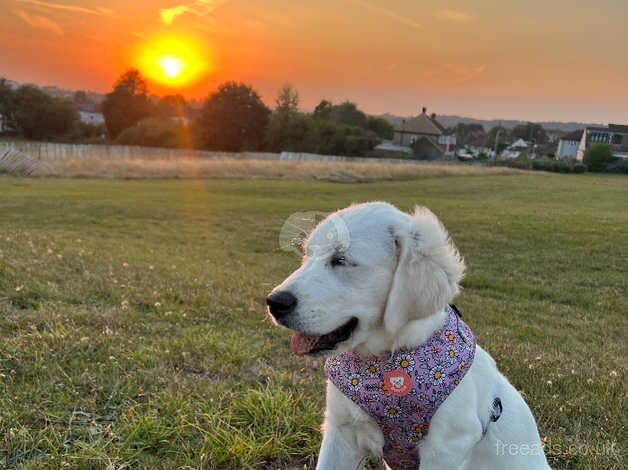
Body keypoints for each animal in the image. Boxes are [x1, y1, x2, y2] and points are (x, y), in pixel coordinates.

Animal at [264, 204, 548, 470]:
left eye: (341, 260)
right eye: (307, 255)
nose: (274, 303)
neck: (386, 364)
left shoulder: (445, 448)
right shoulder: (340, 431)